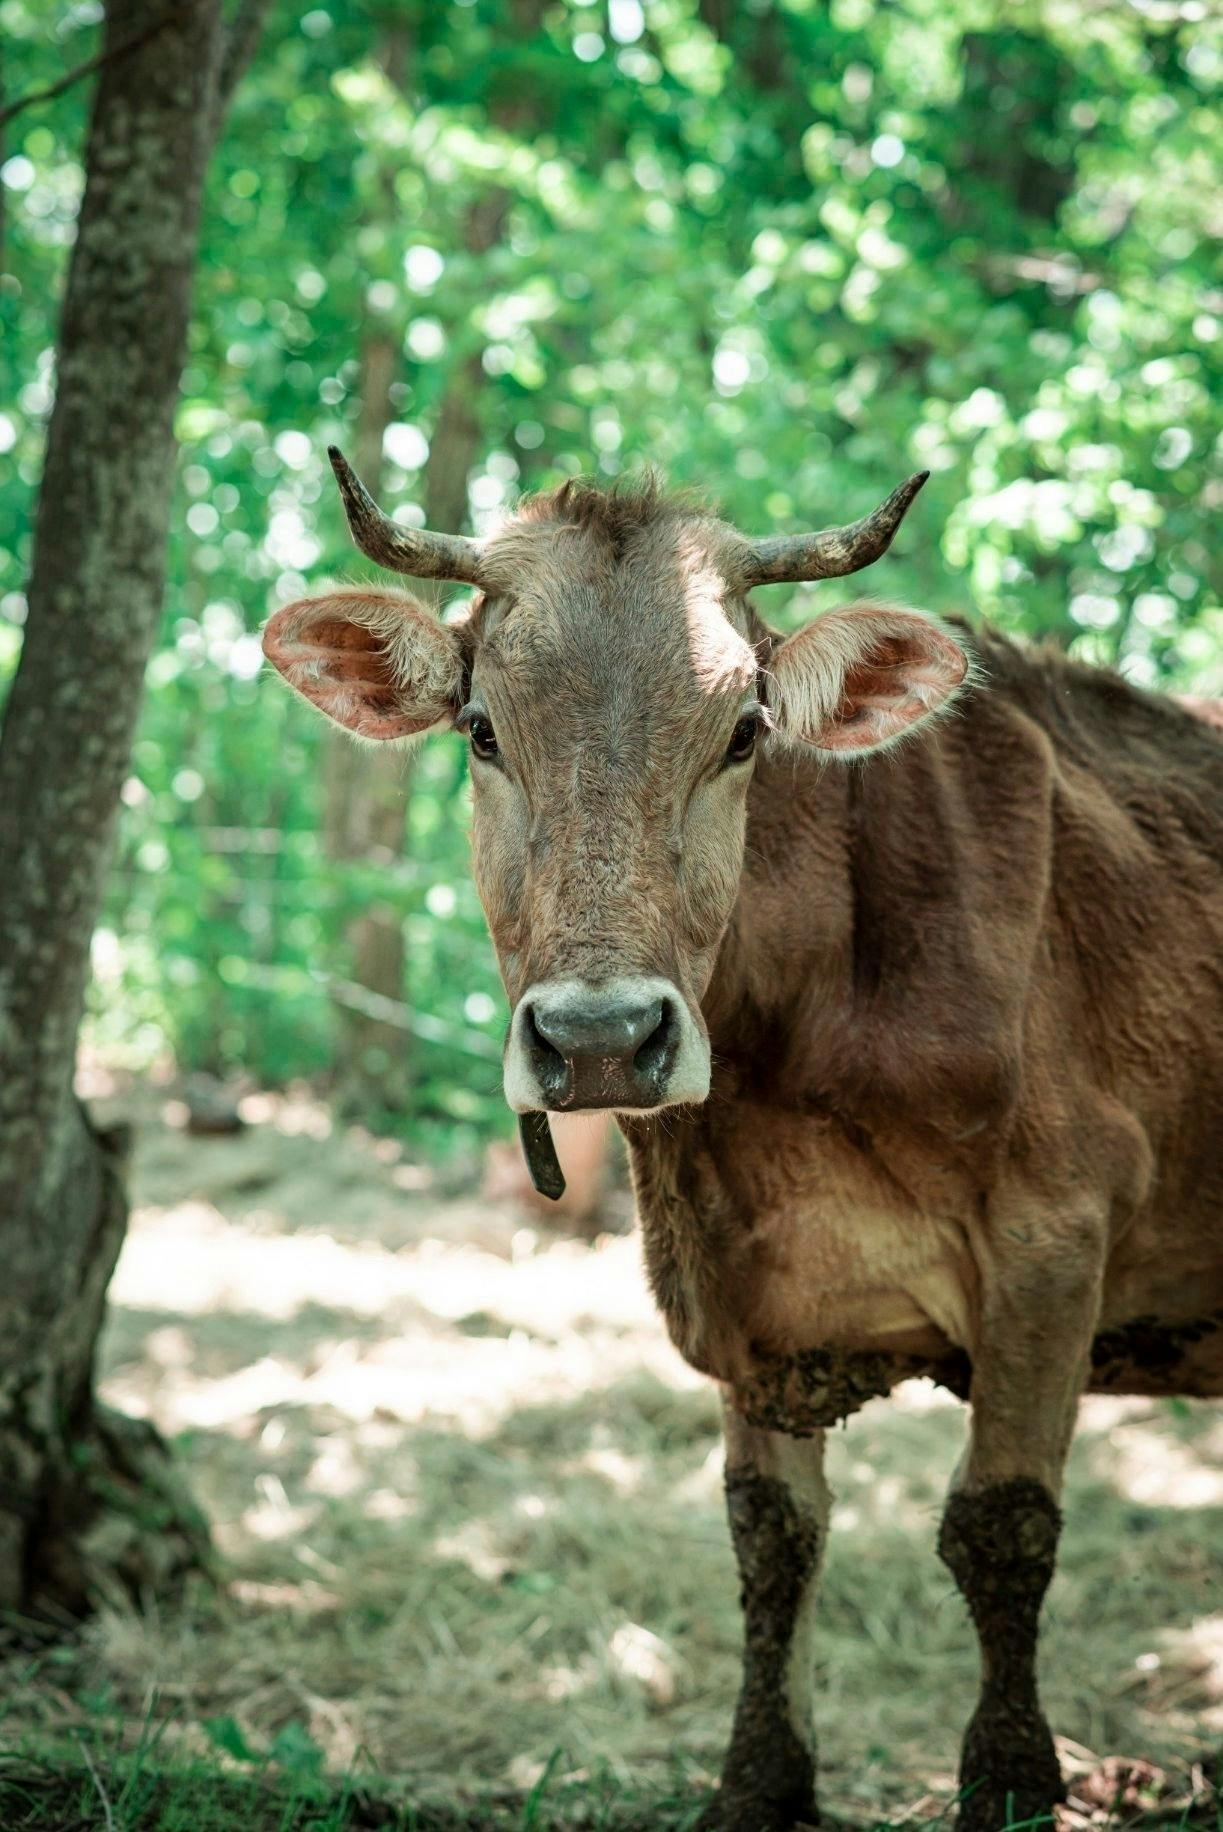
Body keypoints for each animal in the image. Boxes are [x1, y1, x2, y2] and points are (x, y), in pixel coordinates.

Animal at [263, 454, 1215, 1832]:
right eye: (482, 730)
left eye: (743, 732)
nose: (601, 1036)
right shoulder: (735, 1283)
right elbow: (770, 1537)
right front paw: (758, 1779)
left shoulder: (1055, 1236)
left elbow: (1000, 1527)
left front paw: (1007, 1783)